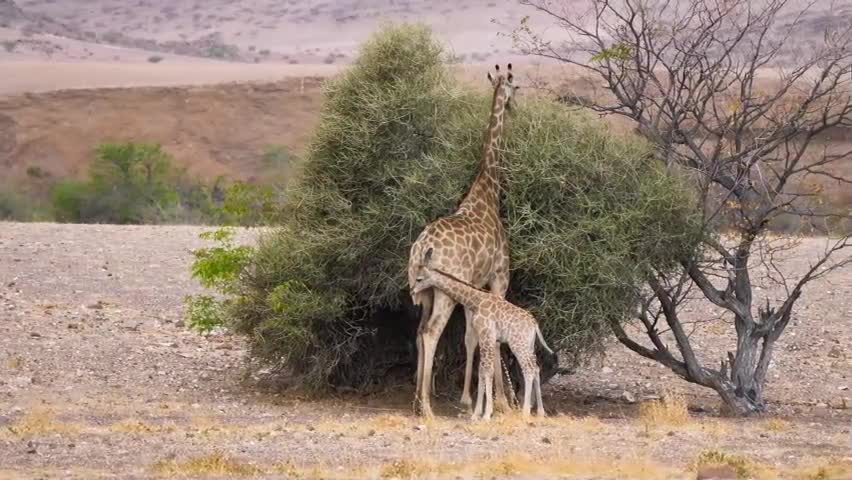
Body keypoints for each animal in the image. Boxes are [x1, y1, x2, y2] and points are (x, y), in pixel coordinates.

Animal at [408, 62, 520, 416]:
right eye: (517, 88)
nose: (515, 108)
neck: (488, 191)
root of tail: (420, 249)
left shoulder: (474, 286)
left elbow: (473, 336)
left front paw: (471, 398)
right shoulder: (498, 278)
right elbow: (488, 335)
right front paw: (501, 401)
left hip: (423, 293)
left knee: (419, 331)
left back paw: (417, 400)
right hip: (443, 292)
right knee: (431, 333)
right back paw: (427, 408)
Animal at [412, 248, 552, 420]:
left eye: (419, 278)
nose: (412, 291)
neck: (476, 301)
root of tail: (534, 325)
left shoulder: (487, 335)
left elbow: (487, 371)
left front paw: (486, 414)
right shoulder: (485, 337)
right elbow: (481, 371)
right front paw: (477, 413)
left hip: (517, 344)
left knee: (529, 369)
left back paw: (525, 412)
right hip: (529, 345)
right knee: (537, 368)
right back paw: (540, 412)